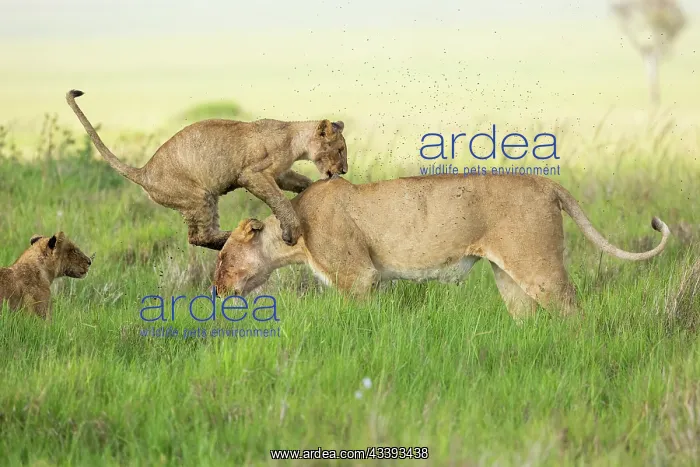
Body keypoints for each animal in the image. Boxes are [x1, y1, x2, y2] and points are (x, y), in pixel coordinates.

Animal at [66, 89, 348, 250]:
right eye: (340, 150)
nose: (344, 170)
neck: (294, 139)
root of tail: (143, 171)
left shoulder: (279, 173)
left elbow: (299, 181)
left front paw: (311, 190)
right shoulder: (252, 173)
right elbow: (279, 199)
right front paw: (291, 230)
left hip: (201, 201)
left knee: (199, 236)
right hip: (198, 197)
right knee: (199, 237)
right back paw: (243, 232)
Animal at [213, 174, 670, 319]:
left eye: (222, 259)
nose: (215, 292)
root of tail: (544, 182)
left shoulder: (358, 277)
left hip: (539, 265)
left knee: (573, 311)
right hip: (508, 274)